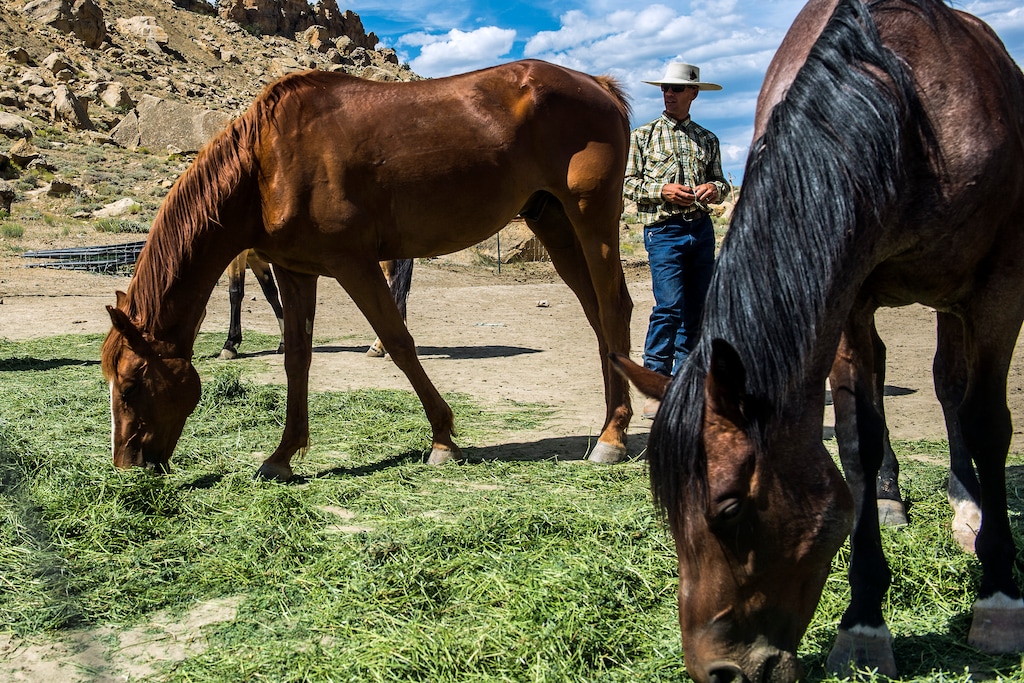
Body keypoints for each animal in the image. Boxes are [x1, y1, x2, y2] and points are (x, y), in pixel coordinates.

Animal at [217, 251, 413, 360]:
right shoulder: (253, 256)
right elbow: (271, 292)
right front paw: (284, 341)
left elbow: (235, 292)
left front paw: (230, 345)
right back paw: (382, 348)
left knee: (394, 288)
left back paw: (381, 347)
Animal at [612, 0, 1024, 680]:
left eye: (729, 510)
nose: (718, 672)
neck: (897, 100)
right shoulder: (847, 296)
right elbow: (857, 444)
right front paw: (864, 622)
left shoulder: (998, 286)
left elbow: (989, 424)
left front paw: (1000, 597)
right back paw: (892, 498)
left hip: (953, 296)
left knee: (952, 388)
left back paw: (968, 508)